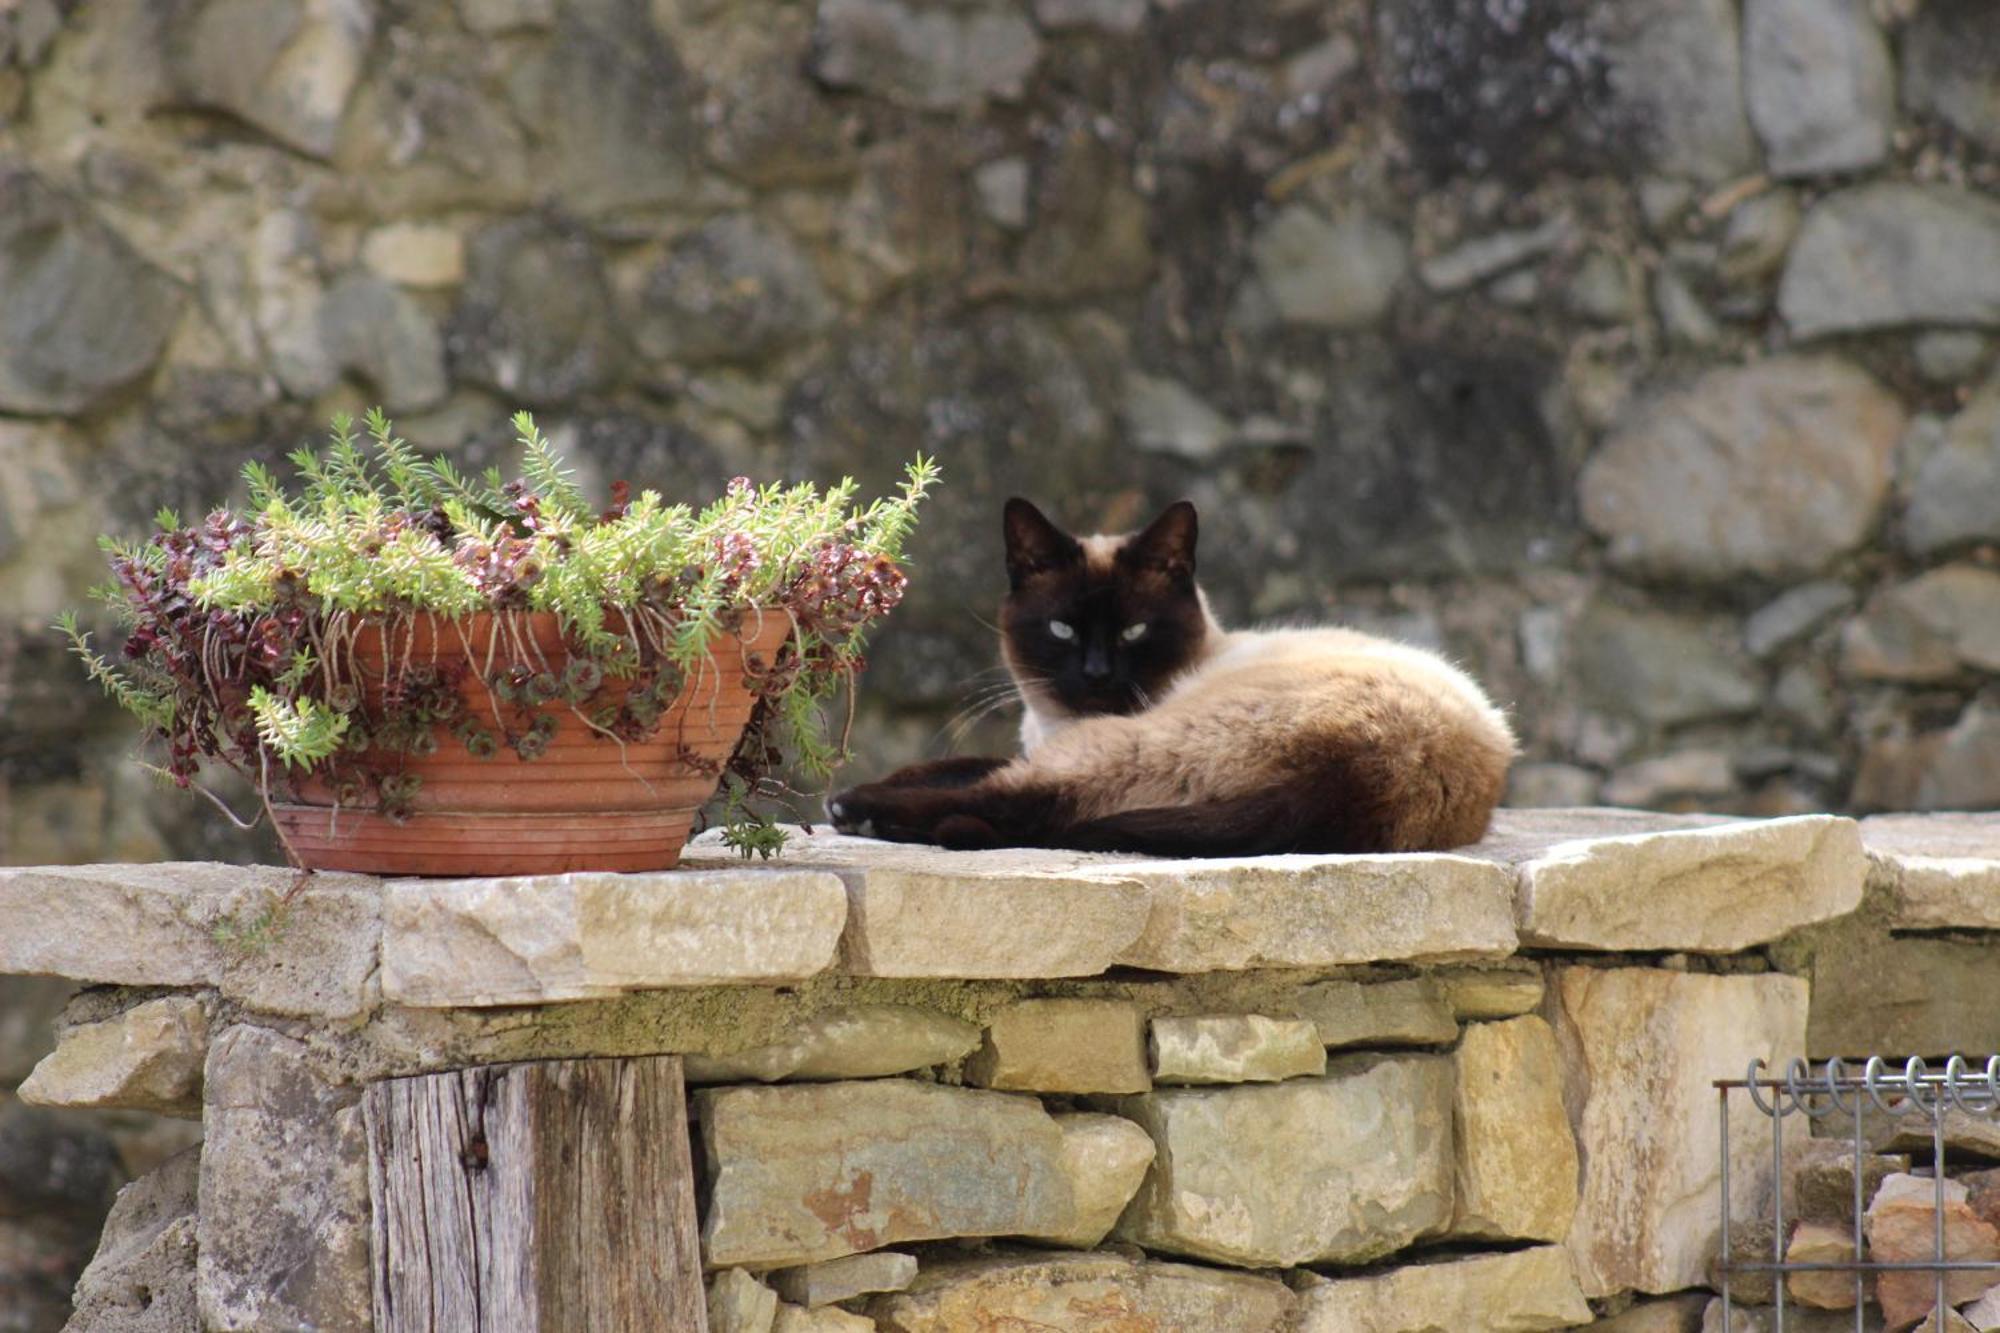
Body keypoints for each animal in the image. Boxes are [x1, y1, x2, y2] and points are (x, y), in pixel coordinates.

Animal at [828, 492, 1512, 856]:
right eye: (1062, 630)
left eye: (1133, 632)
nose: (1096, 673)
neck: (1052, 725)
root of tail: (1374, 776)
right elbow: (956, 762)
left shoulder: (1077, 740)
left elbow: (976, 773)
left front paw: (861, 797)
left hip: (1138, 745)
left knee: (1031, 804)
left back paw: (860, 811)